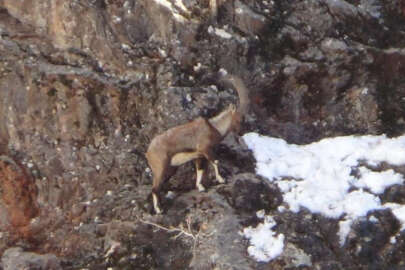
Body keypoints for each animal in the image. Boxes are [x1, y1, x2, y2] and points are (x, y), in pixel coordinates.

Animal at [145, 74, 246, 213]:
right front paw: (221, 179)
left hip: (170, 168)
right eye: (240, 118)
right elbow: (216, 161)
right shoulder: (206, 150)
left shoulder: (199, 156)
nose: (242, 132)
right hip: (160, 168)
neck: (214, 127)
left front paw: (201, 187)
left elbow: (200, 170)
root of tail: (148, 152)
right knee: (154, 188)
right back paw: (159, 210)